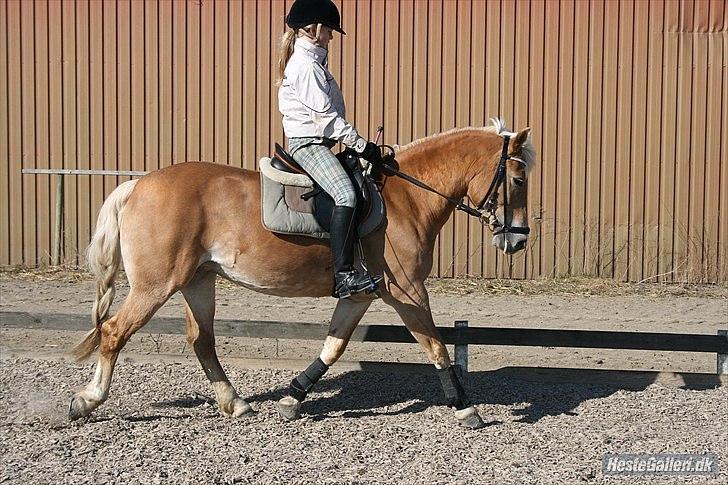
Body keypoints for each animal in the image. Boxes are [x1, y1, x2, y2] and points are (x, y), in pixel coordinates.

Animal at [69, 117, 536, 428]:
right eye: (517, 179)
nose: (517, 240)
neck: (406, 198)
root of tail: (138, 185)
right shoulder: (407, 291)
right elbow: (437, 346)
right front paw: (466, 407)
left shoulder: (360, 294)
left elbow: (334, 346)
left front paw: (293, 399)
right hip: (156, 285)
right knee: (114, 332)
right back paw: (87, 401)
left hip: (198, 281)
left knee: (202, 341)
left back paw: (235, 403)